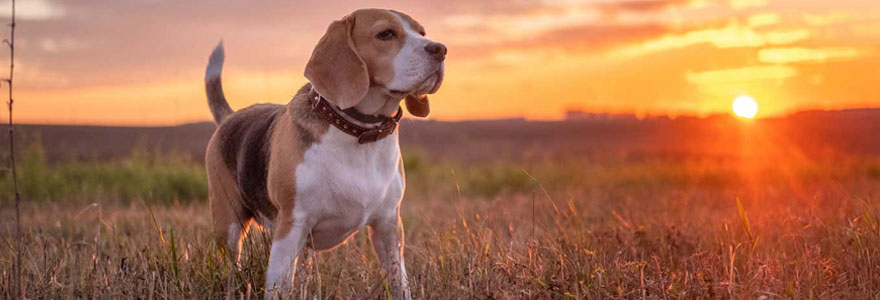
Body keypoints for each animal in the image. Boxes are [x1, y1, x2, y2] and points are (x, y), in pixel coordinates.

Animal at [203, 8, 444, 298]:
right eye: (385, 34)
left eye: (422, 32)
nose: (441, 49)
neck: (359, 133)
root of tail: (231, 116)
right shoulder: (291, 227)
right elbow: (279, 286)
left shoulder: (388, 226)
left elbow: (400, 283)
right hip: (228, 223)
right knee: (232, 263)